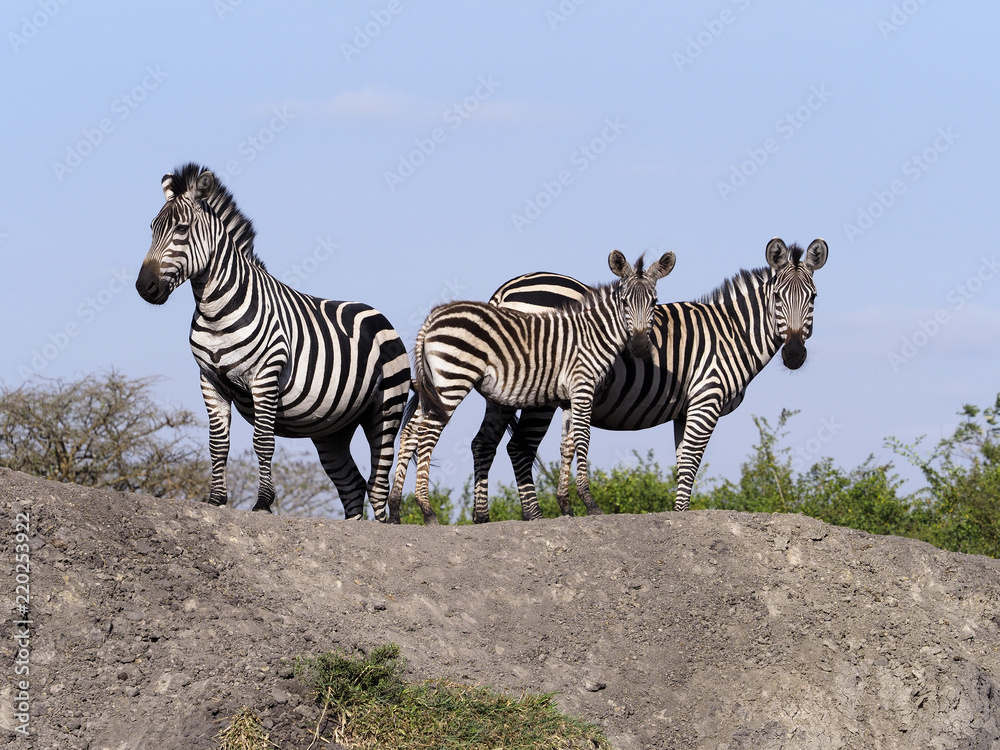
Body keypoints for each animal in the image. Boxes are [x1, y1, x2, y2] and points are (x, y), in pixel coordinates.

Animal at [135, 163, 411, 521]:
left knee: (378, 484)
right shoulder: (209, 380)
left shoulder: (265, 376)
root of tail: (378, 314)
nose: (145, 287)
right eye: (152, 229)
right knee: (353, 485)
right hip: (333, 428)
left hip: (386, 407)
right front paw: (216, 499)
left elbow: (263, 441)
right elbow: (217, 443)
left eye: (181, 229)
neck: (216, 311)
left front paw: (263, 503)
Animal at [387, 250, 676, 525]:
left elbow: (568, 444)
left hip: (433, 387)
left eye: (654, 302)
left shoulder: (568, 398)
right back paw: (427, 510)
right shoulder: (583, 387)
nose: (640, 346)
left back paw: (395, 510)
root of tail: (431, 319)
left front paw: (566, 505)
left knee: (411, 431)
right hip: (452, 381)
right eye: (625, 302)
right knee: (428, 433)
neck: (593, 334)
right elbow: (584, 438)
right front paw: (590, 502)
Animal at [470, 237, 828, 517]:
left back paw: (482, 518)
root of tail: (504, 292)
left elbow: (683, 460)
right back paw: (534, 517)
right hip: (538, 391)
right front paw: (680, 514)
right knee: (519, 447)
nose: (794, 355)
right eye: (778, 298)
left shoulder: (684, 409)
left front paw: (680, 512)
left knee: (484, 443)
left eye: (812, 298)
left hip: (503, 390)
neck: (731, 333)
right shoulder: (706, 399)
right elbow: (691, 460)